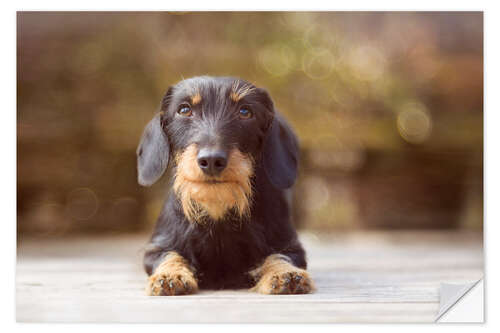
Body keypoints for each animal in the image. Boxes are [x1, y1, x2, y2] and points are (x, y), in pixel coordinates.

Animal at [137, 76, 314, 294]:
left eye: (245, 111)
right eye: (184, 109)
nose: (212, 160)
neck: (217, 210)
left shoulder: (291, 246)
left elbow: (279, 255)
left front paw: (285, 273)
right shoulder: (157, 247)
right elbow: (169, 255)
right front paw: (170, 275)